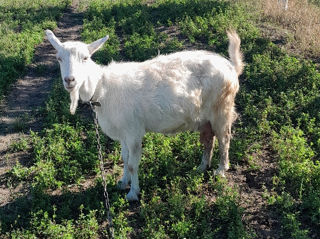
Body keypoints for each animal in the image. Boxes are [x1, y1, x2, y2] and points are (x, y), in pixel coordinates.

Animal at [45, 29, 244, 202]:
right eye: (59, 58)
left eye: (86, 58)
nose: (70, 80)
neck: (102, 88)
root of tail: (231, 67)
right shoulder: (123, 133)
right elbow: (124, 158)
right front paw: (122, 182)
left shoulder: (133, 131)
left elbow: (133, 164)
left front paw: (133, 193)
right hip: (205, 117)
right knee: (208, 139)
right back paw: (201, 167)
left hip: (221, 108)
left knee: (224, 138)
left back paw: (221, 170)